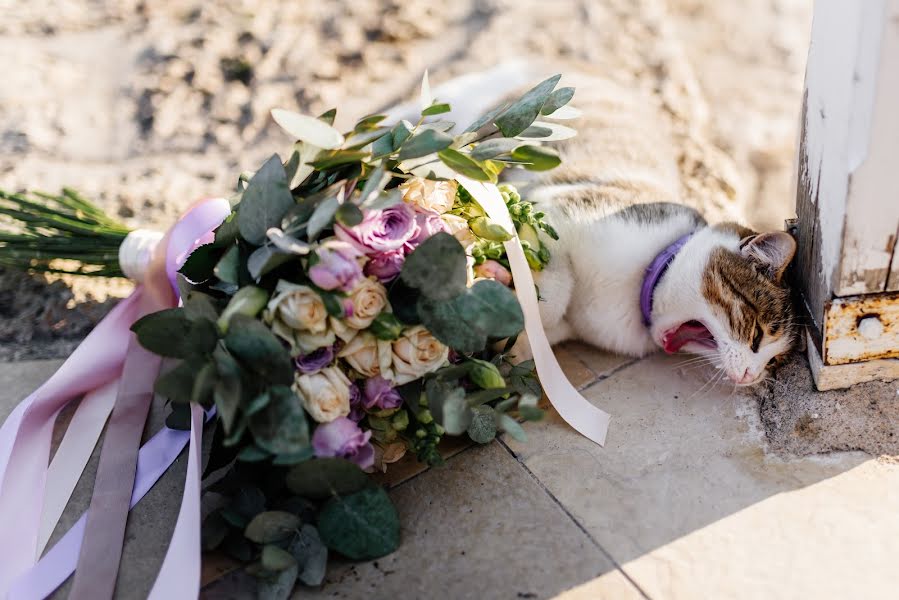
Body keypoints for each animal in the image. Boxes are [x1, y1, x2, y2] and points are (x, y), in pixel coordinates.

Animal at [386, 63, 796, 386]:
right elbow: (552, 289)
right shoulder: (557, 211)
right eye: (757, 334)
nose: (750, 377)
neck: (638, 290)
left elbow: (538, 333)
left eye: (773, 361)